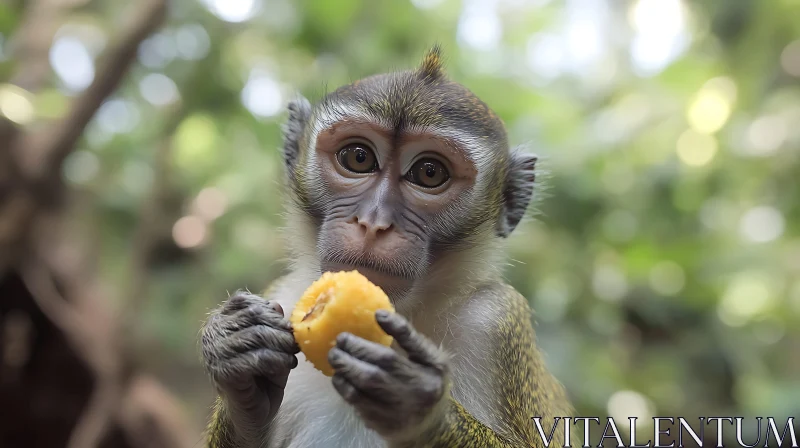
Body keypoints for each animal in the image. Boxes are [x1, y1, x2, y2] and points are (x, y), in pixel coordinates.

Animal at [200, 46, 576, 448]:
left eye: (429, 172)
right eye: (358, 158)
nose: (373, 223)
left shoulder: (496, 322)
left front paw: (421, 405)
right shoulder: (283, 292)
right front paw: (239, 364)